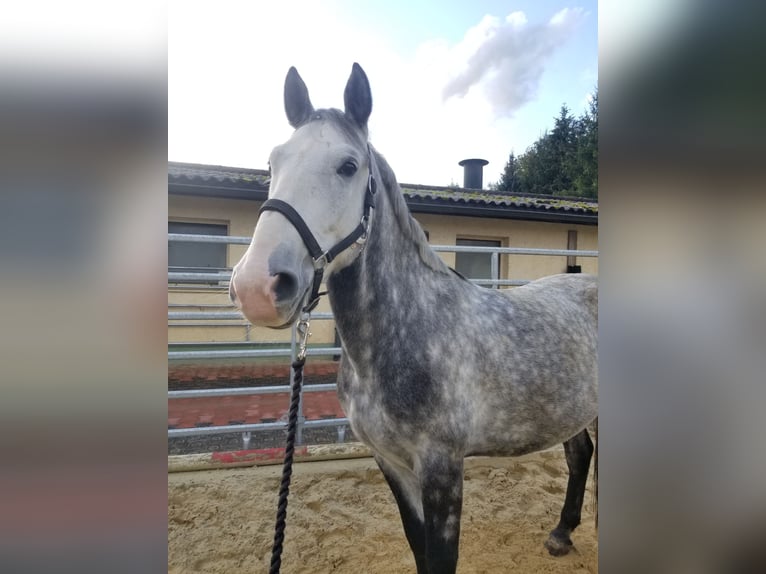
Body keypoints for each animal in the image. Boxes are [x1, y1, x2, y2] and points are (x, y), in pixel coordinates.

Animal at [230, 64, 600, 574]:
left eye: (348, 166)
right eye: (273, 163)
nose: (257, 287)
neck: (409, 332)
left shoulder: (442, 468)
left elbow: (441, 555)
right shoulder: (392, 462)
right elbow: (418, 546)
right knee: (580, 453)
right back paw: (562, 533)